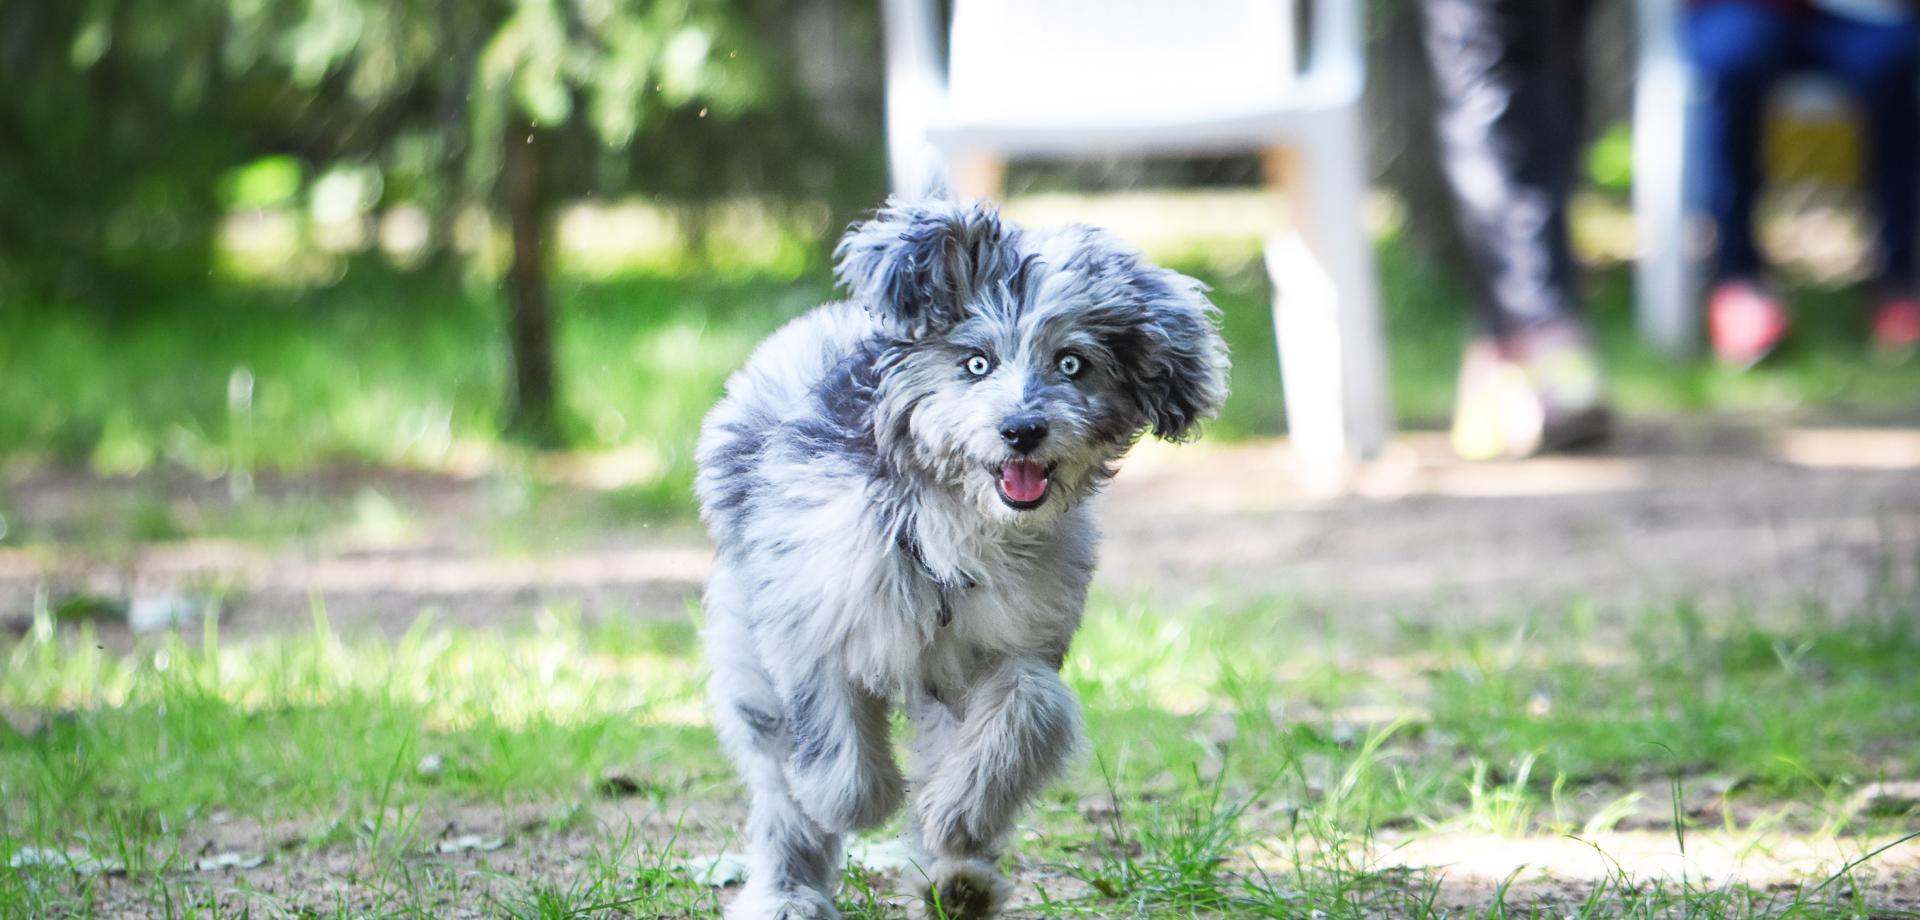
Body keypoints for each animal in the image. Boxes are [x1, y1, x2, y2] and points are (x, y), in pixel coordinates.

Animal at [702, 197, 1228, 918]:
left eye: (1072, 363)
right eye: (975, 363)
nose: (1022, 430)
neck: (952, 516)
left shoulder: (1007, 644)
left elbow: (1030, 712)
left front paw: (956, 815)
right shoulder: (809, 610)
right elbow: (829, 731)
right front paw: (854, 800)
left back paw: (957, 882)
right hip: (745, 645)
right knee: (778, 785)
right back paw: (788, 891)